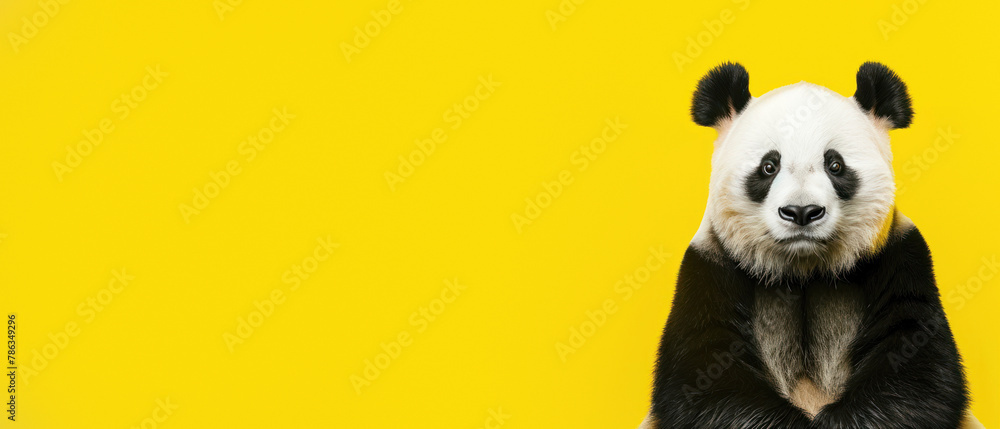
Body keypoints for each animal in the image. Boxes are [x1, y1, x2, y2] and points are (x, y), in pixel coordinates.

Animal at [638, 62, 980, 428]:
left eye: (835, 165)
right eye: (769, 166)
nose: (801, 212)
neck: (803, 269)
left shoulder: (899, 256)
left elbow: (915, 365)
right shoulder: (709, 267)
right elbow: (705, 375)